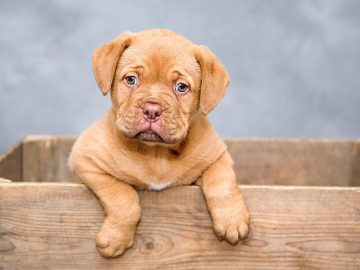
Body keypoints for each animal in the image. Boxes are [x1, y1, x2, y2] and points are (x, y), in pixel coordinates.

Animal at [68, 28, 250, 258]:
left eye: (181, 87)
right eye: (131, 80)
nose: (152, 110)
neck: (156, 153)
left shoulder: (217, 156)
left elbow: (222, 181)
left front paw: (231, 219)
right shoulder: (85, 159)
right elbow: (123, 195)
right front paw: (116, 239)